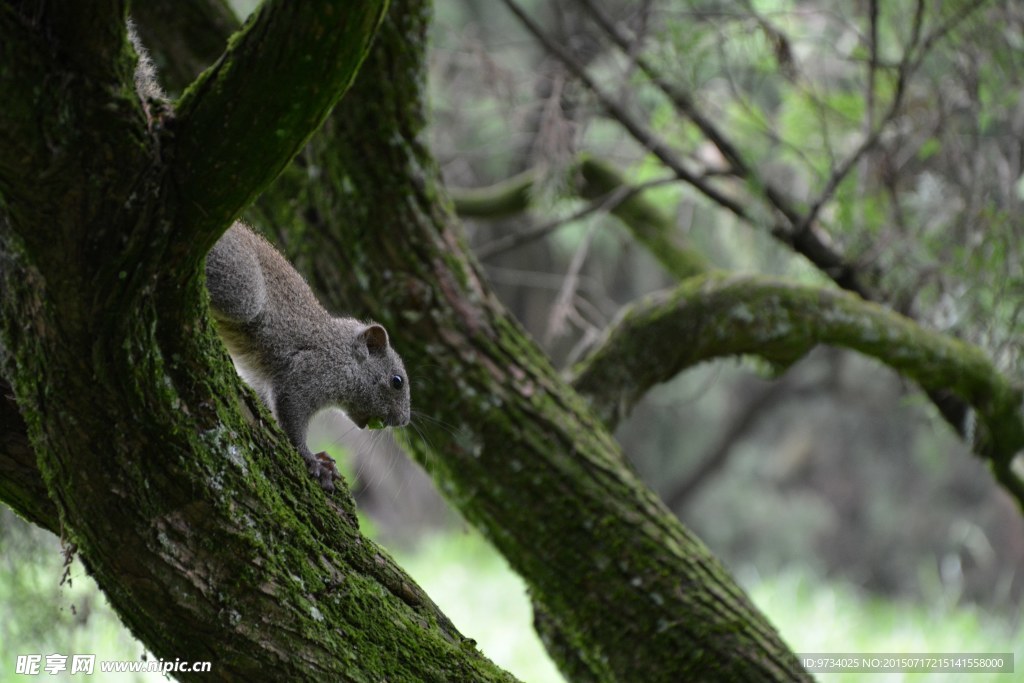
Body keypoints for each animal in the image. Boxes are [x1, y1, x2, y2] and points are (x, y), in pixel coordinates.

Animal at [203, 224, 411, 491]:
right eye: (397, 381)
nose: (404, 420)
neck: (339, 352)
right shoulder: (308, 373)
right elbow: (292, 414)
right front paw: (312, 458)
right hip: (241, 290)